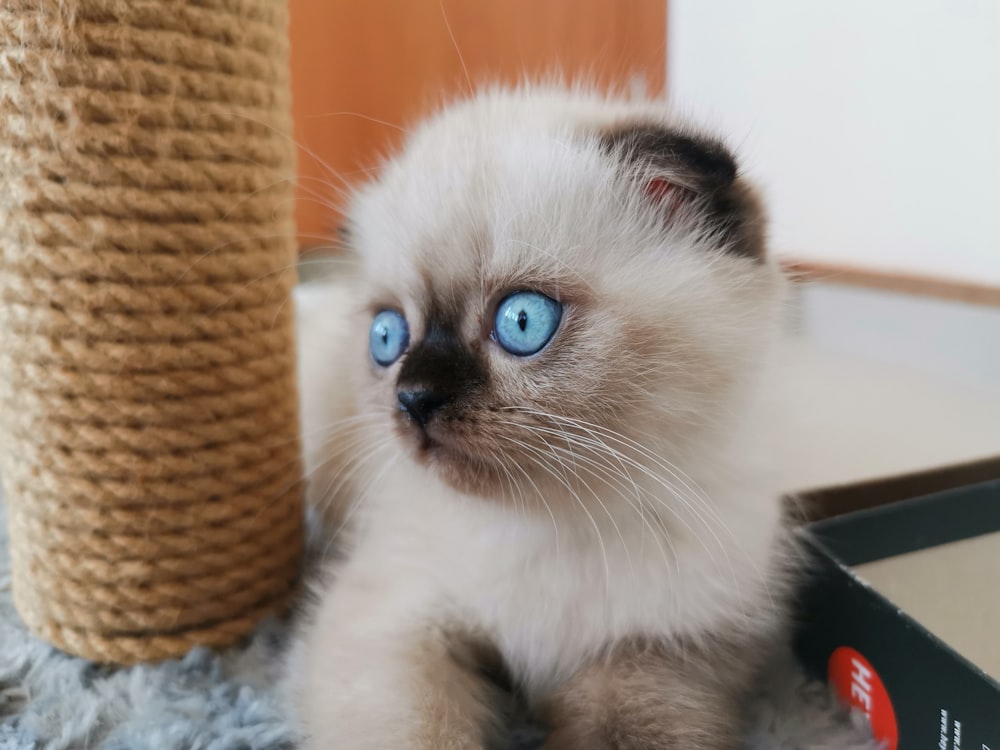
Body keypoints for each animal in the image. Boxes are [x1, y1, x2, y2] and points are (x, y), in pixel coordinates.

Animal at [286, 85, 792, 750]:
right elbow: (421, 736)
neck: (556, 526)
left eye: (523, 322)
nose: (414, 398)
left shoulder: (659, 656)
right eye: (388, 337)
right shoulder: (394, 624)